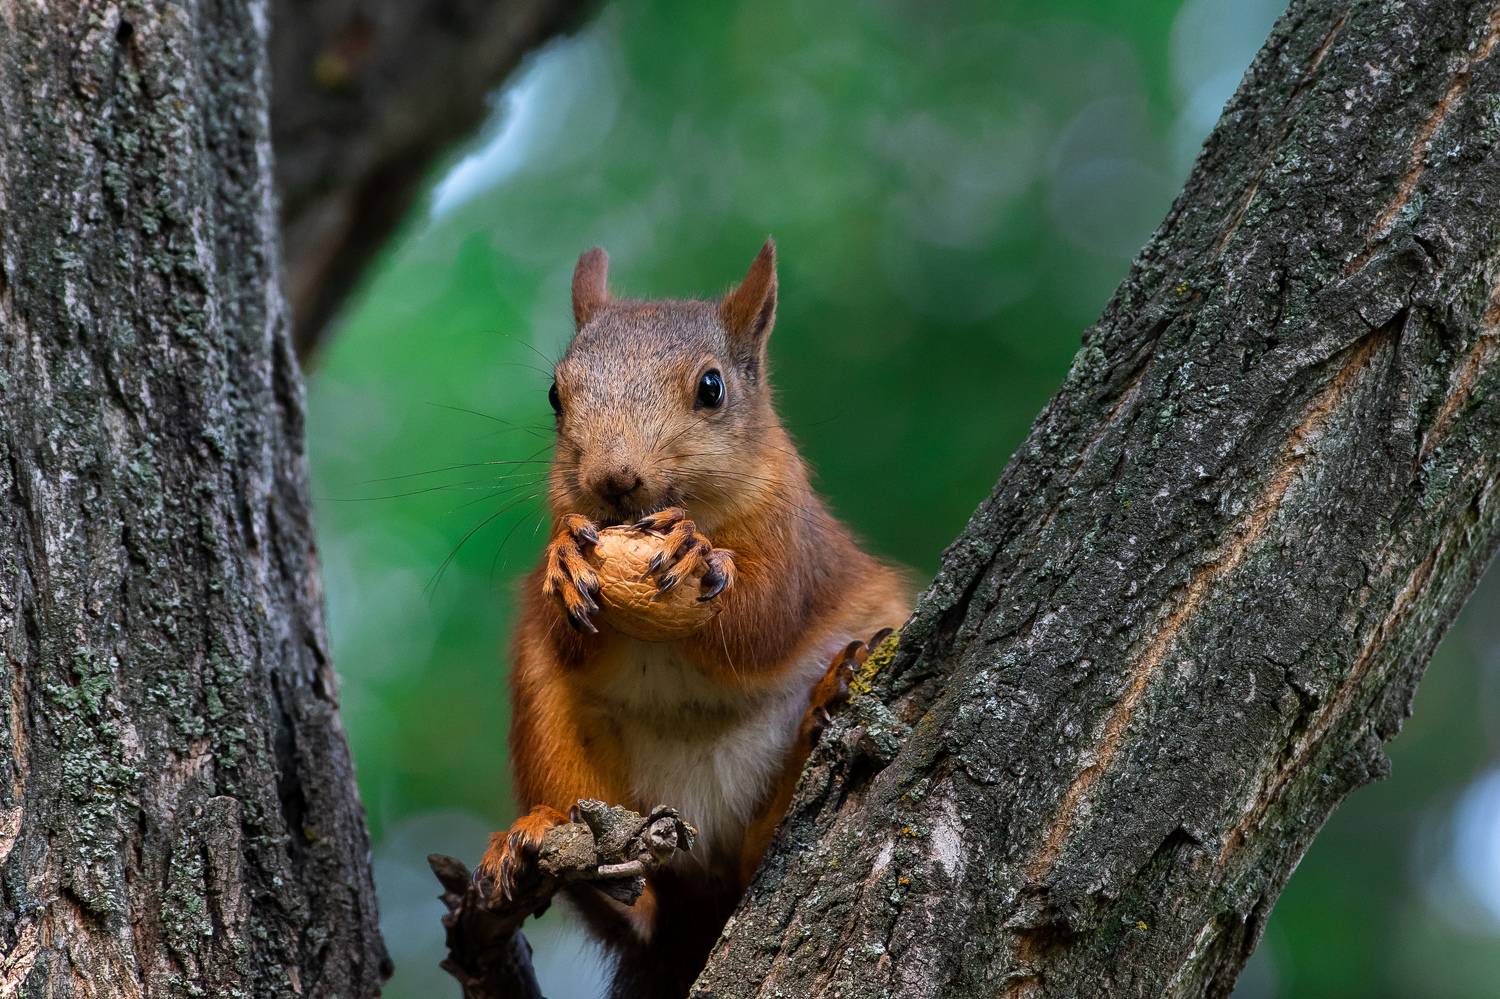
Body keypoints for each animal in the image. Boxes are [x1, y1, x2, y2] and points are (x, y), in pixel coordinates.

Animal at [476, 239, 912, 998]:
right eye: (557, 395)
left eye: (712, 388)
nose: (614, 479)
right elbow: (569, 631)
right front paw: (565, 562)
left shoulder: (795, 542)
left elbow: (764, 621)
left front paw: (693, 554)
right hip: (552, 733)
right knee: (624, 889)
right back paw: (532, 843)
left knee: (756, 858)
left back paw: (827, 702)